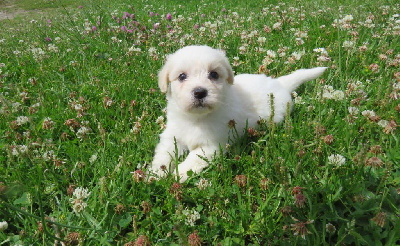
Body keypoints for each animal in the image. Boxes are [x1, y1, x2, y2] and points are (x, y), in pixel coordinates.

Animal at [150, 45, 324, 182]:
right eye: (182, 76)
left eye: (214, 74)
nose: (200, 92)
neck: (196, 118)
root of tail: (280, 83)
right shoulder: (172, 136)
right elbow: (164, 154)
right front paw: (155, 174)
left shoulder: (210, 146)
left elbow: (192, 161)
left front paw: (177, 175)